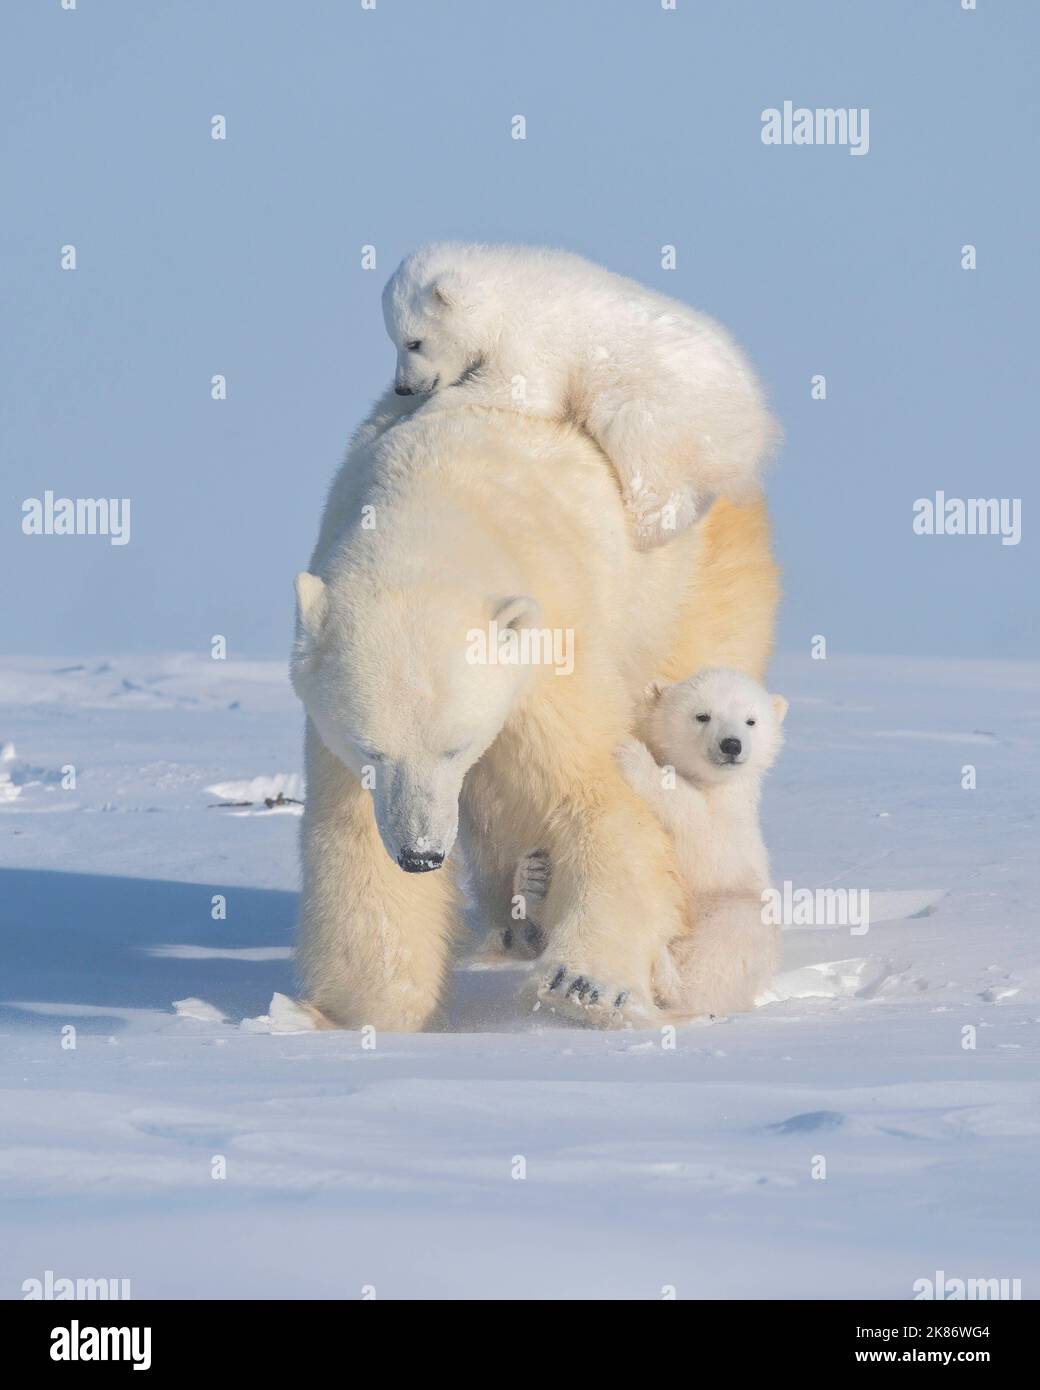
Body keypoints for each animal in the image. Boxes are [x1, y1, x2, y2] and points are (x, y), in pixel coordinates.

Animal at [287, 391, 778, 1034]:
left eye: (456, 745)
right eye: (370, 748)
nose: (421, 854)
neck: (433, 506)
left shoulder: (550, 649)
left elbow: (590, 798)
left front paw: (584, 988)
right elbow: (355, 835)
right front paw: (365, 1007)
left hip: (691, 585)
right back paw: (519, 913)